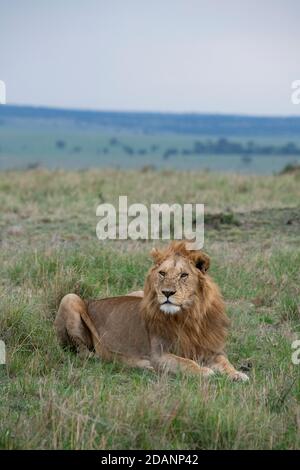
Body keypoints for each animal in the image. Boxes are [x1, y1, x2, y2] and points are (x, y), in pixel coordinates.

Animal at [54, 241, 248, 380]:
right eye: (162, 273)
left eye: (183, 275)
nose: (167, 293)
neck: (189, 315)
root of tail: (92, 300)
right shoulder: (159, 354)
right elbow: (186, 363)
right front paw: (204, 371)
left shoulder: (208, 348)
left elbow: (225, 362)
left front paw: (237, 374)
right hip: (69, 298)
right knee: (83, 352)